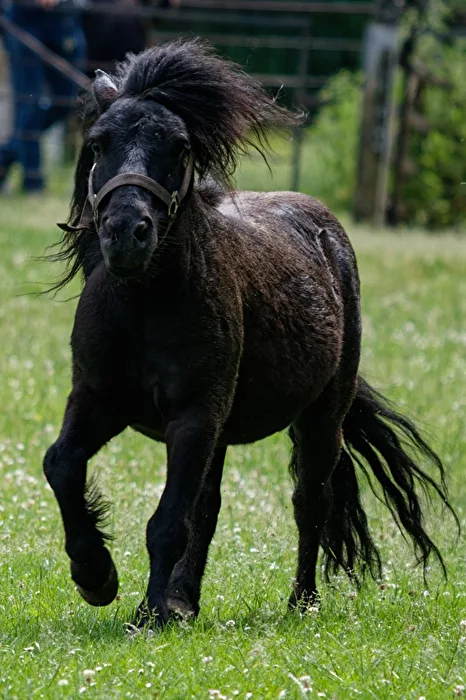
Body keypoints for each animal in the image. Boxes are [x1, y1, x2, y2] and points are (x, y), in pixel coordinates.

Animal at [43, 39, 456, 629]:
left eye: (179, 148)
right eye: (98, 144)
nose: (125, 232)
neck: (145, 304)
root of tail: (326, 232)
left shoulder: (194, 416)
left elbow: (168, 520)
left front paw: (149, 613)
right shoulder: (98, 399)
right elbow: (62, 465)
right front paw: (96, 576)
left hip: (318, 418)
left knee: (310, 501)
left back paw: (300, 602)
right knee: (211, 505)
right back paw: (185, 599)